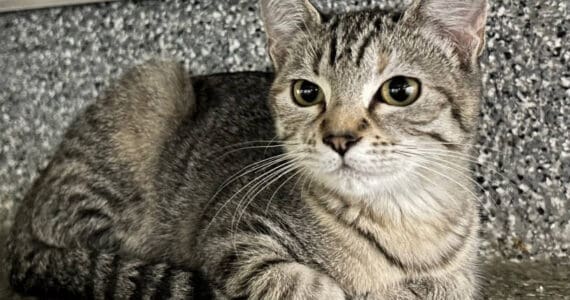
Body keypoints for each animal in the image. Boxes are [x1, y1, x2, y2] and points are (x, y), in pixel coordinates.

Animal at [4, 0, 486, 300]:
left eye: (399, 90)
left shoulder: (458, 280)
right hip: (155, 85)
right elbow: (299, 283)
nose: (339, 138)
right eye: (307, 93)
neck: (404, 221)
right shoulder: (230, 237)